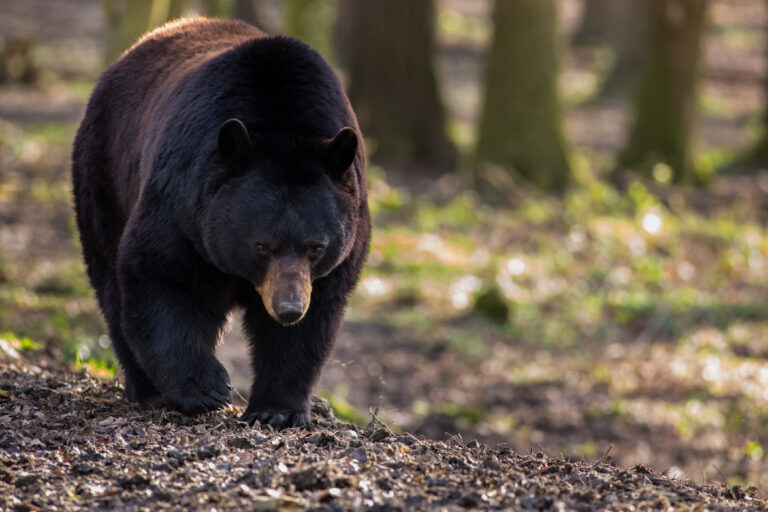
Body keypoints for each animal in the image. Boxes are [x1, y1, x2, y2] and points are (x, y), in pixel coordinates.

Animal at [71, 17, 370, 429]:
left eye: (316, 247)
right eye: (262, 245)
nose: (289, 308)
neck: (283, 125)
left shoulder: (343, 242)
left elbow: (311, 324)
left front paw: (277, 410)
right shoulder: (184, 206)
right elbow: (162, 276)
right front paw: (204, 388)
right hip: (106, 171)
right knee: (111, 281)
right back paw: (146, 389)